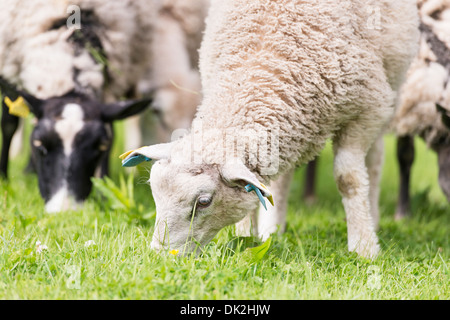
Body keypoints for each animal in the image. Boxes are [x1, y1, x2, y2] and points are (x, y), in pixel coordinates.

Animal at [0, 1, 158, 214]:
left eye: (101, 146)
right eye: (39, 145)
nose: (65, 210)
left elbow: (111, 131)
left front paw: (104, 187)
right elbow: (9, 124)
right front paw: (4, 178)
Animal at [121, 0, 420, 258]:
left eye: (203, 201)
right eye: (154, 192)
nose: (161, 255)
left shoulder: (365, 110)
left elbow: (349, 179)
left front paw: (363, 247)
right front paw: (245, 236)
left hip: (390, 88)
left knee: (374, 159)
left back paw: (372, 218)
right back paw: (273, 231)